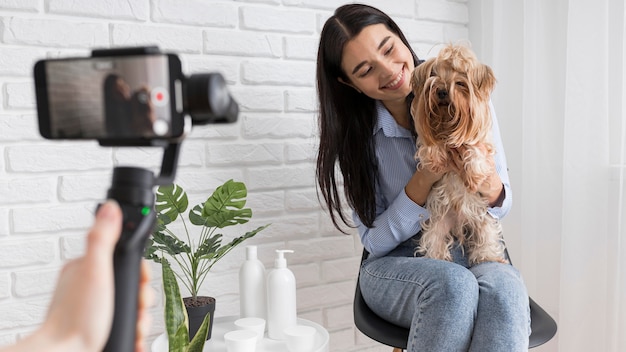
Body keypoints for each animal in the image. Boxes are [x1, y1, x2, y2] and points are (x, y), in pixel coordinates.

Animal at [410, 44, 508, 264]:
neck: (448, 124)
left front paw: (473, 176)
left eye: (460, 83)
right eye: (435, 80)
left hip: (483, 218)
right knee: (434, 239)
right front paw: (435, 160)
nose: (442, 91)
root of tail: (460, 222)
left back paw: (487, 257)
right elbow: (430, 147)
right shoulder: (429, 138)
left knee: (487, 237)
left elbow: (475, 149)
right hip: (437, 222)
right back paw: (438, 257)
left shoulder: (481, 143)